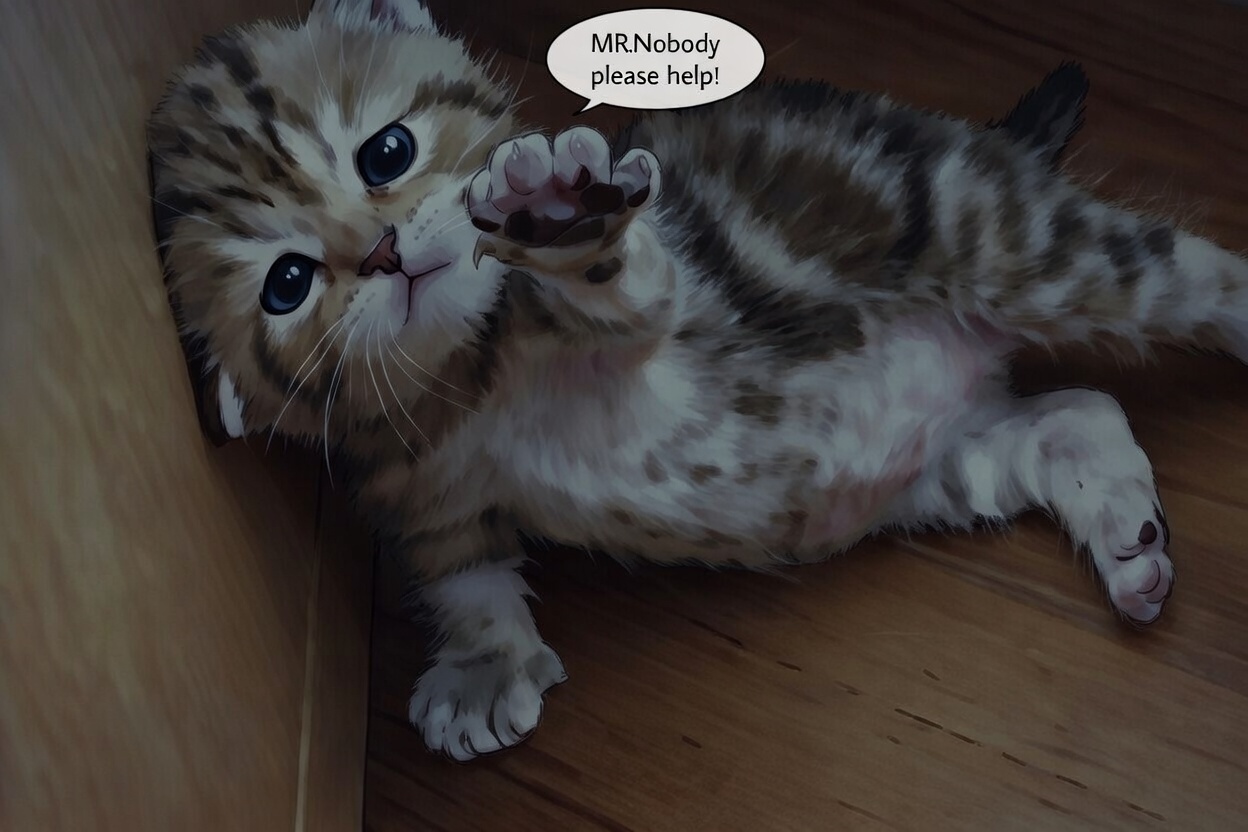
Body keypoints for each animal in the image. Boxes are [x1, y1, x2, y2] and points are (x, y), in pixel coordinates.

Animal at [147, 0, 1248, 762]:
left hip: (1017, 243)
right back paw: (1127, 536)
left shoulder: (653, 302)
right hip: (947, 460)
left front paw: (557, 208)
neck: (469, 380)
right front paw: (482, 662)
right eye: (288, 283)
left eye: (387, 151)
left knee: (1198, 277)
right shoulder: (415, 484)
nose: (378, 252)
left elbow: (624, 283)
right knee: (1081, 408)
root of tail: (979, 141)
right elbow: (459, 565)